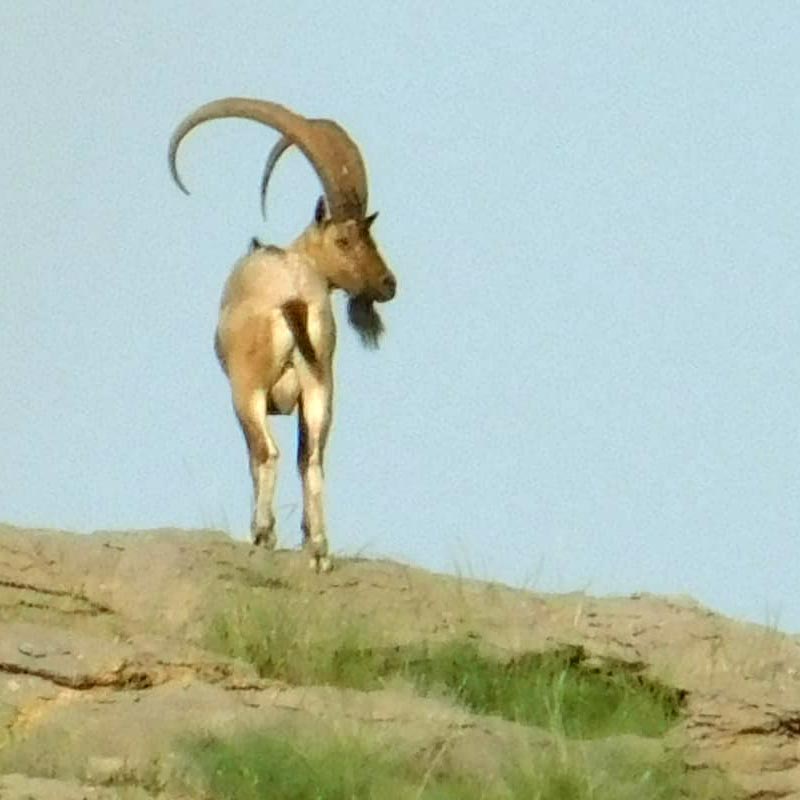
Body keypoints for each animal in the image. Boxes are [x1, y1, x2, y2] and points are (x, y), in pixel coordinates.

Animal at [169, 97, 396, 572]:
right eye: (346, 240)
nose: (389, 284)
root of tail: (294, 295)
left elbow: (253, 458)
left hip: (248, 386)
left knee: (266, 452)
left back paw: (263, 533)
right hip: (321, 383)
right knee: (312, 459)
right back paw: (319, 550)